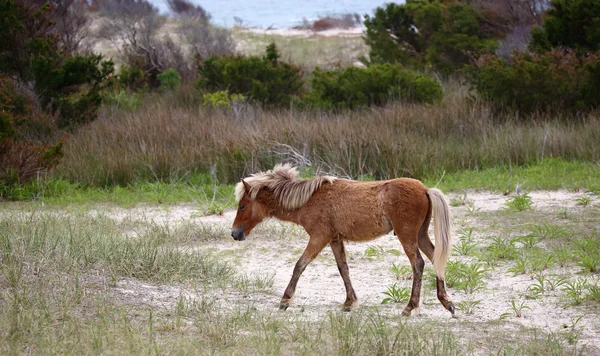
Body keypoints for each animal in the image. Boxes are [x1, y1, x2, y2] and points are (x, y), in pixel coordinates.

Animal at [231, 164, 454, 318]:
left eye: (242, 206)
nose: (234, 233)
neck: (309, 199)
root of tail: (425, 189)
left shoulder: (318, 238)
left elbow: (300, 265)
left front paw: (285, 300)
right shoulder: (334, 240)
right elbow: (343, 269)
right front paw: (349, 302)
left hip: (407, 236)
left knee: (418, 264)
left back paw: (410, 307)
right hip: (420, 235)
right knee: (435, 259)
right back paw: (446, 302)